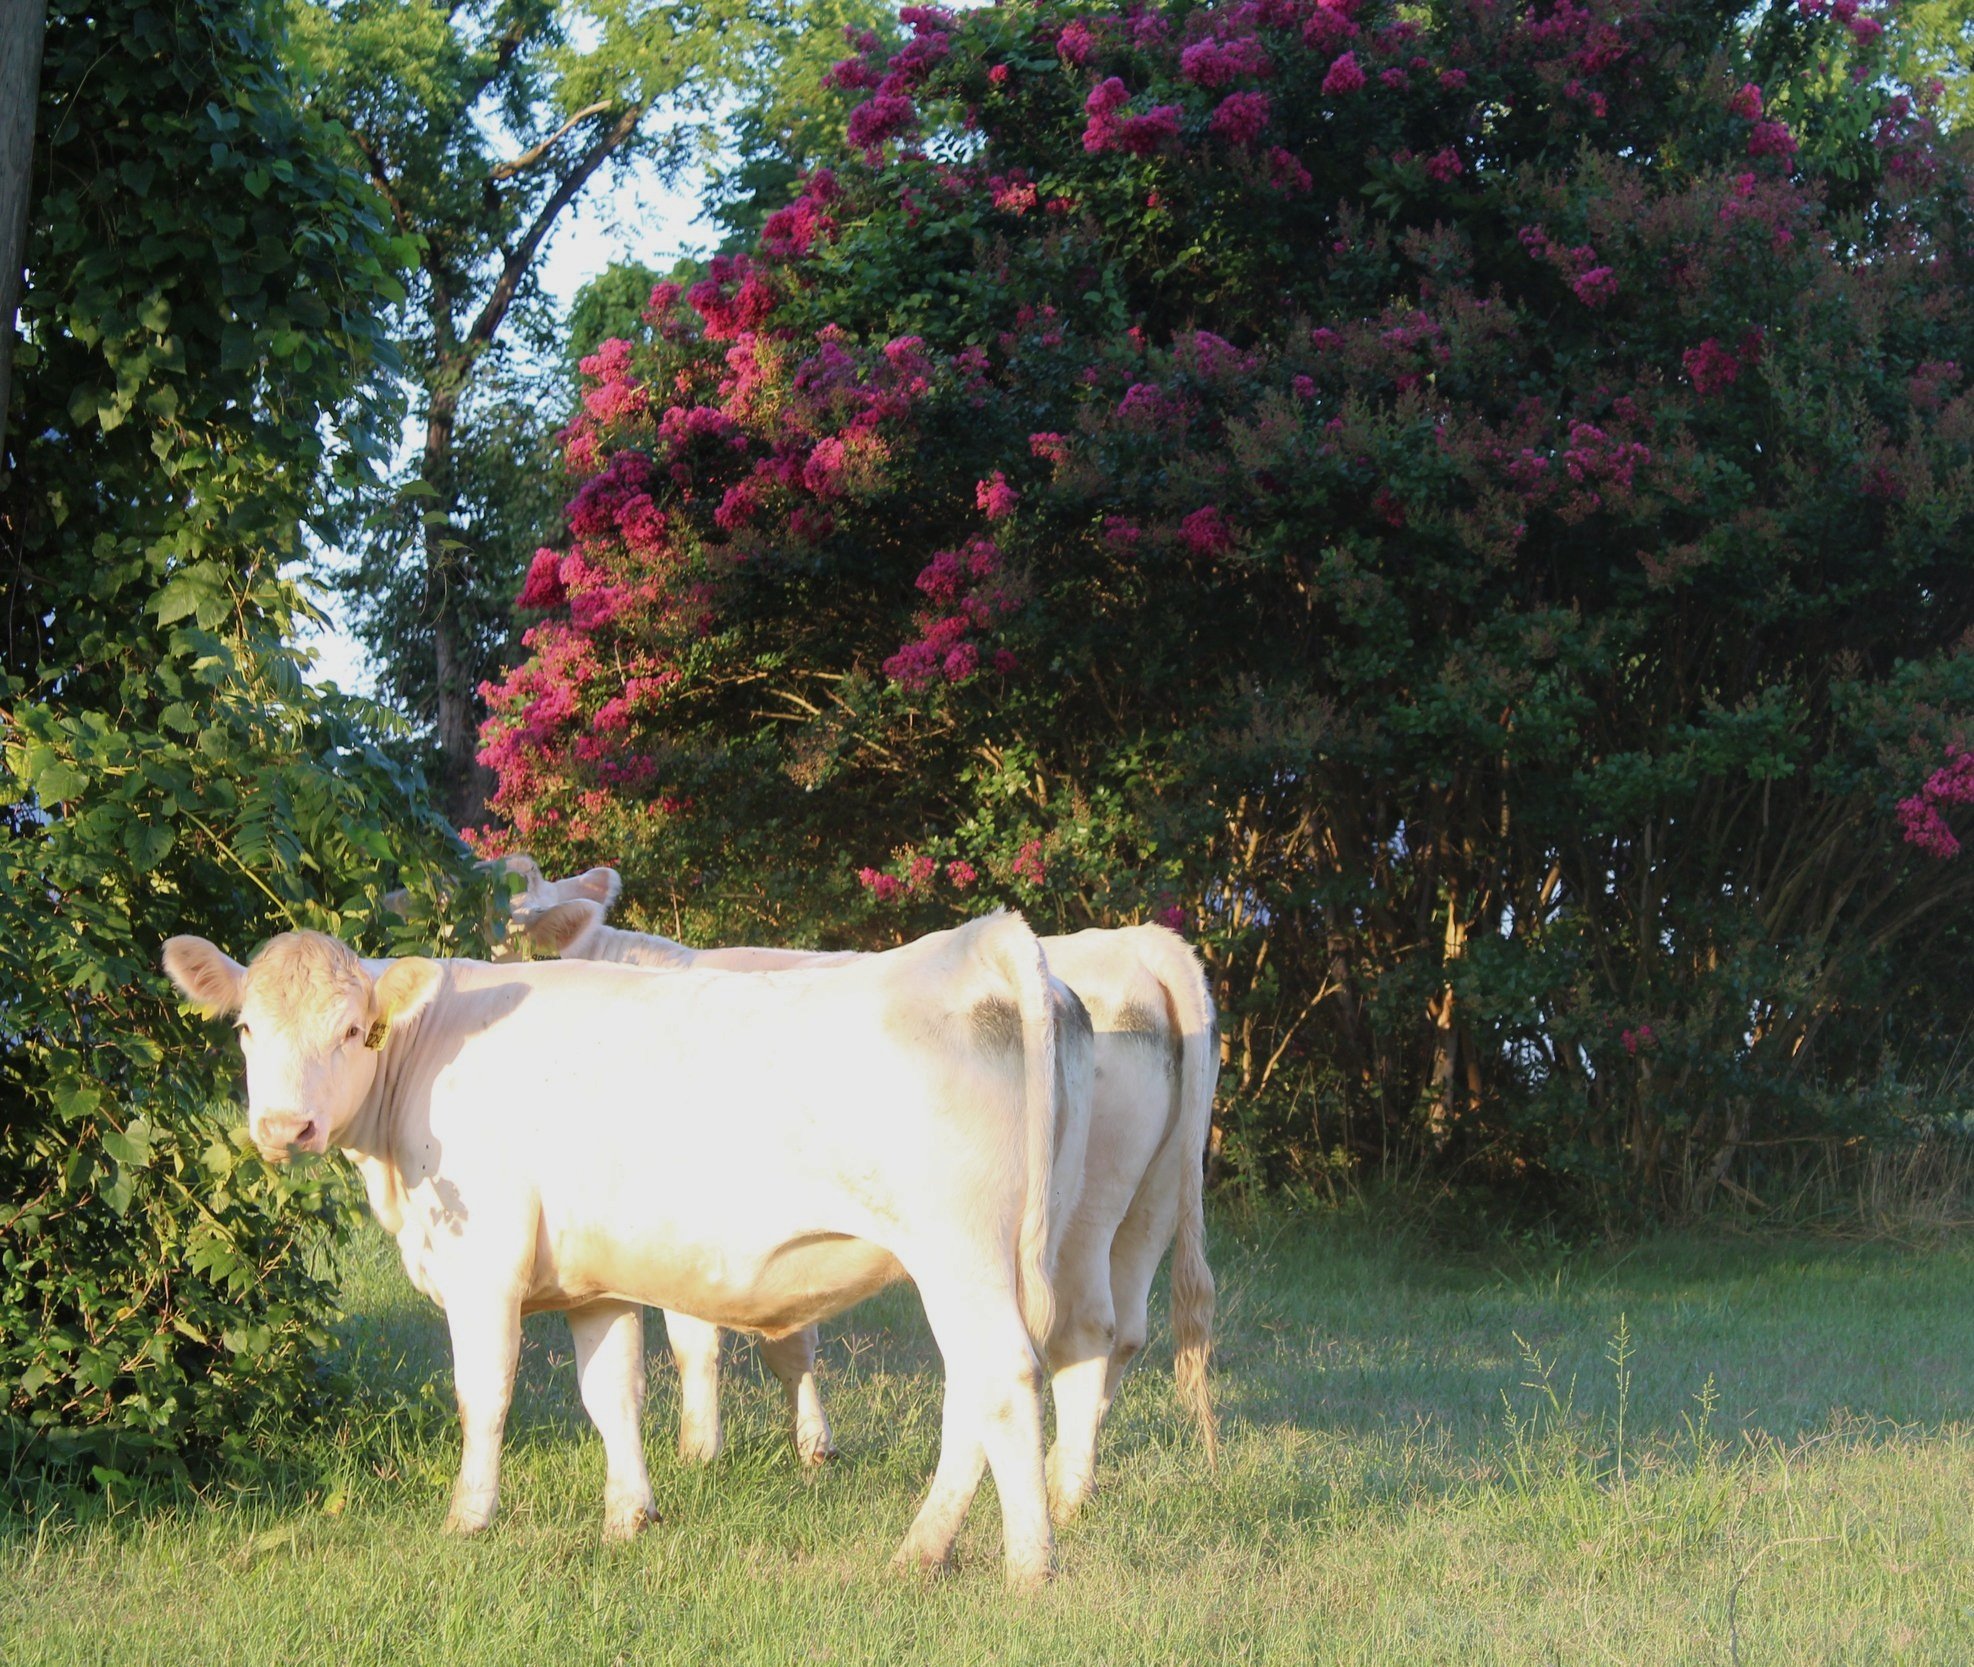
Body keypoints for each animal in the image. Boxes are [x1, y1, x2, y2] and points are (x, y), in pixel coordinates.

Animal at [162, 910, 1089, 1585]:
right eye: (246, 1029)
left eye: (355, 1030)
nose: (285, 1127)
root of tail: (976, 940)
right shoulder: (593, 1281)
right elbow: (611, 1393)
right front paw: (629, 1517)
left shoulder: (482, 1265)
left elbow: (483, 1393)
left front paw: (468, 1518)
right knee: (972, 1389)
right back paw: (922, 1550)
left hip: (958, 1252)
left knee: (1002, 1377)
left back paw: (1028, 1566)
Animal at [519, 870, 1219, 1523]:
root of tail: (1139, 942)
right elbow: (790, 1339)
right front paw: (812, 1445)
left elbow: (701, 1339)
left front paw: (702, 1452)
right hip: (1148, 1200)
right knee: (1120, 1331)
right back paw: (1067, 1477)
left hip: (1076, 1212)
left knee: (1082, 1331)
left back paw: (1061, 1490)